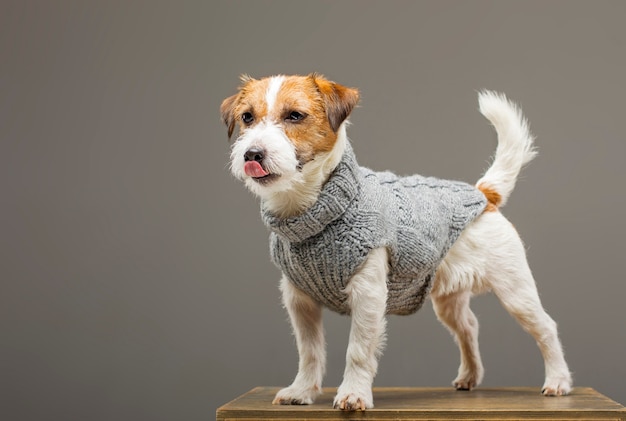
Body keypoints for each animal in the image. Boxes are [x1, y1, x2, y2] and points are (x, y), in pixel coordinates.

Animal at [219, 74, 572, 408]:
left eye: (294, 115)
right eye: (247, 118)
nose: (252, 153)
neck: (315, 209)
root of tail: (483, 195)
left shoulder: (368, 296)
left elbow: (358, 350)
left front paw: (353, 394)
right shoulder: (299, 301)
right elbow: (309, 351)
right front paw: (302, 390)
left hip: (515, 291)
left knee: (546, 327)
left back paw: (558, 380)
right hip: (448, 300)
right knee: (469, 326)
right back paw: (470, 376)